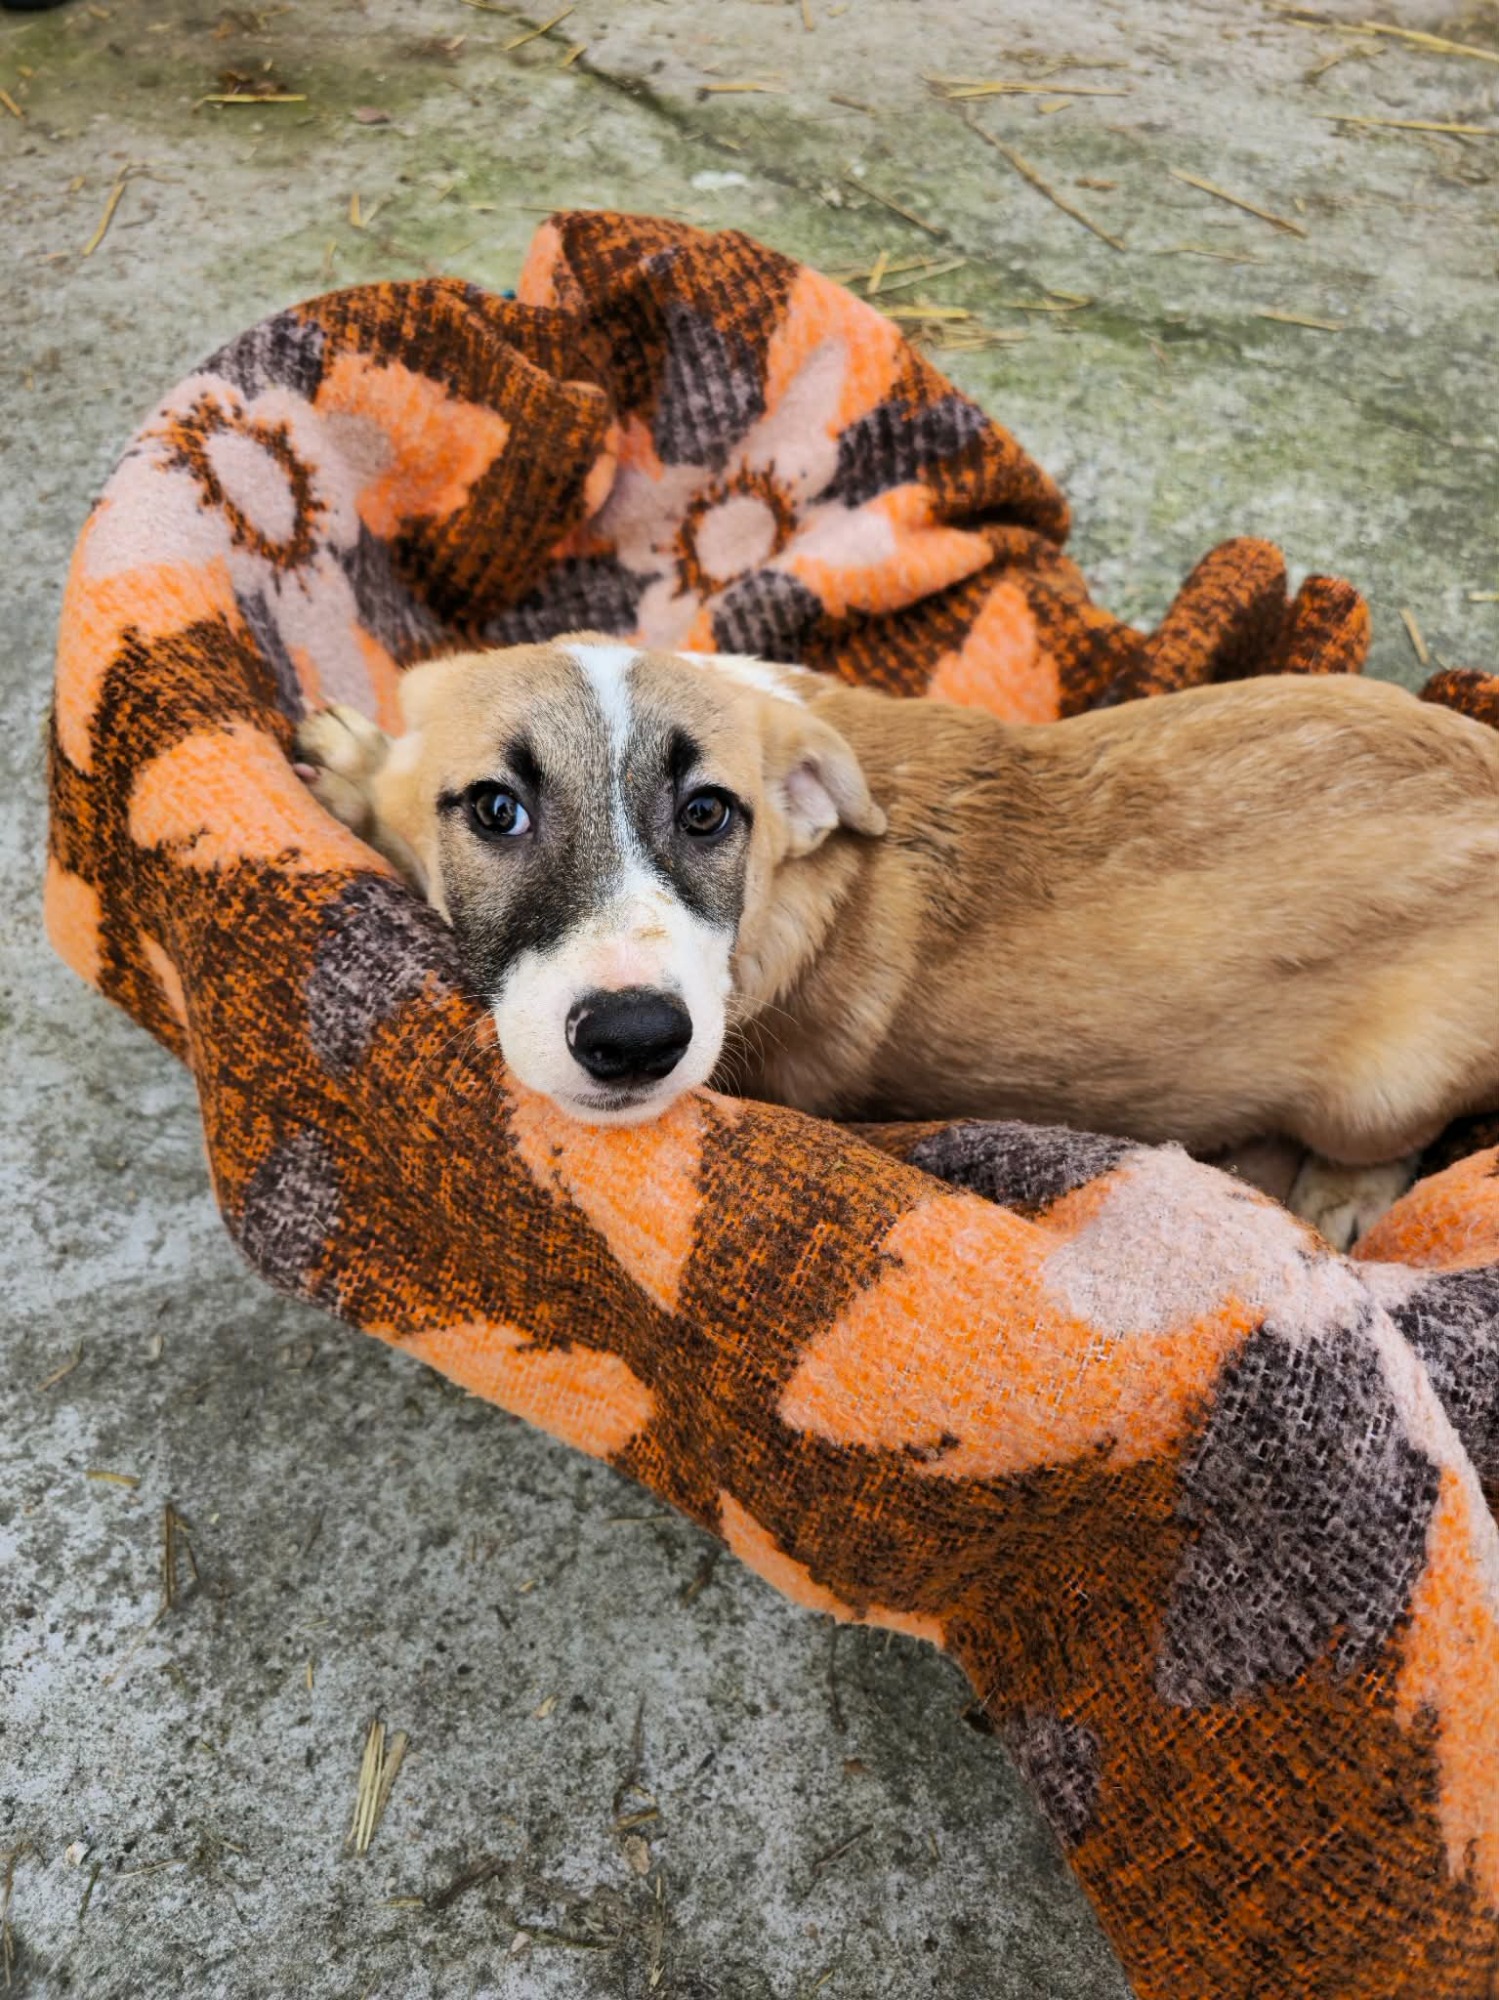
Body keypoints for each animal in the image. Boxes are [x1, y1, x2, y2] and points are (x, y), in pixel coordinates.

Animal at [294, 635, 1499, 1249]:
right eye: (495, 809)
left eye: (707, 813)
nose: (635, 1039)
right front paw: (365, 769)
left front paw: (357, 772)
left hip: (1380, 1087)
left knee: (1381, 1141)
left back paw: (1333, 1197)